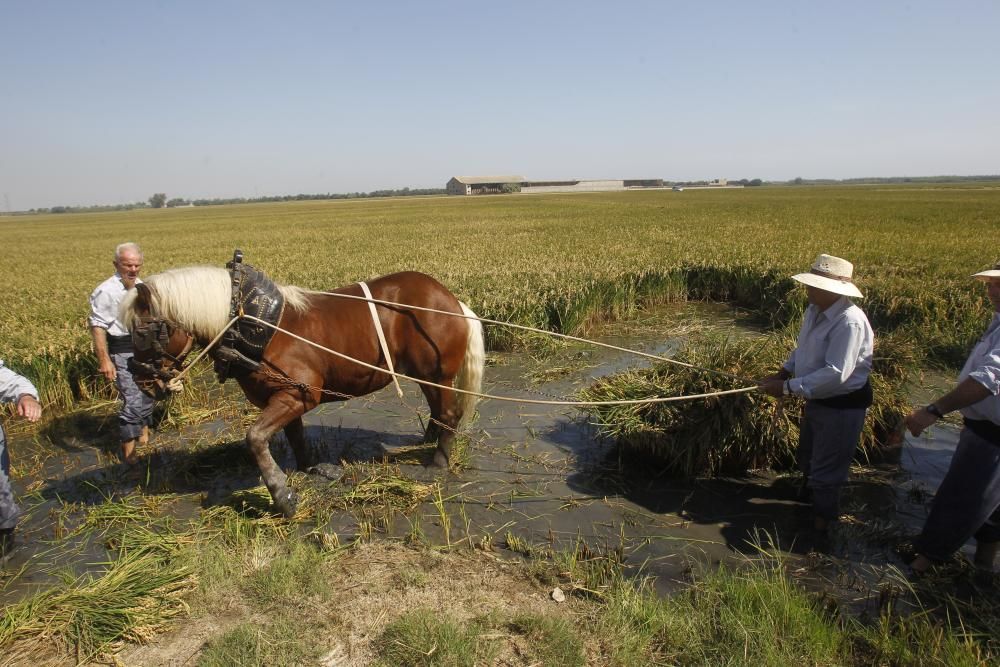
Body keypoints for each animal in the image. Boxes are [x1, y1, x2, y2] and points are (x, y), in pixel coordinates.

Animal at [119, 266, 486, 516]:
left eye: (141, 332)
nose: (140, 381)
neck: (259, 326)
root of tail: (453, 301)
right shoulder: (285, 395)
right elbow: (295, 436)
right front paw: (312, 468)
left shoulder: (299, 394)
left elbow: (255, 438)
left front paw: (281, 495)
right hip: (426, 376)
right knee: (439, 411)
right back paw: (429, 439)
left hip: (436, 374)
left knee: (449, 412)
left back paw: (438, 460)